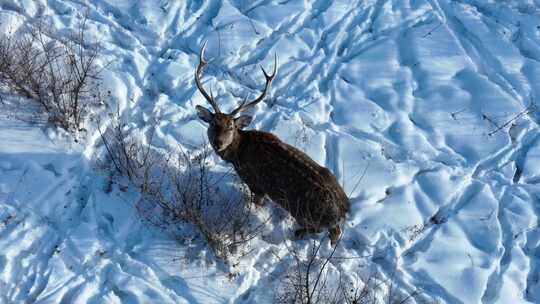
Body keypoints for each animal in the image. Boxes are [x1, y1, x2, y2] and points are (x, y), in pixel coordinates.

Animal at [194, 42, 350, 246]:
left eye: (230, 127)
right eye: (213, 123)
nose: (218, 143)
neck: (238, 155)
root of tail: (344, 209)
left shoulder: (256, 185)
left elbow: (255, 203)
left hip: (301, 210)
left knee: (327, 230)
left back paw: (298, 233)